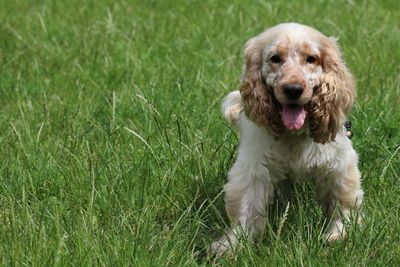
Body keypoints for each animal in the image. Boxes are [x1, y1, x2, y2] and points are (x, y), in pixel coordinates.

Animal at [211, 22, 364, 256]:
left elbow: (343, 200)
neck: (294, 134)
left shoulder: (339, 162)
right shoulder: (254, 168)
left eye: (311, 58)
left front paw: (338, 233)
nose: (293, 89)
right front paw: (233, 244)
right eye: (275, 58)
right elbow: (247, 207)